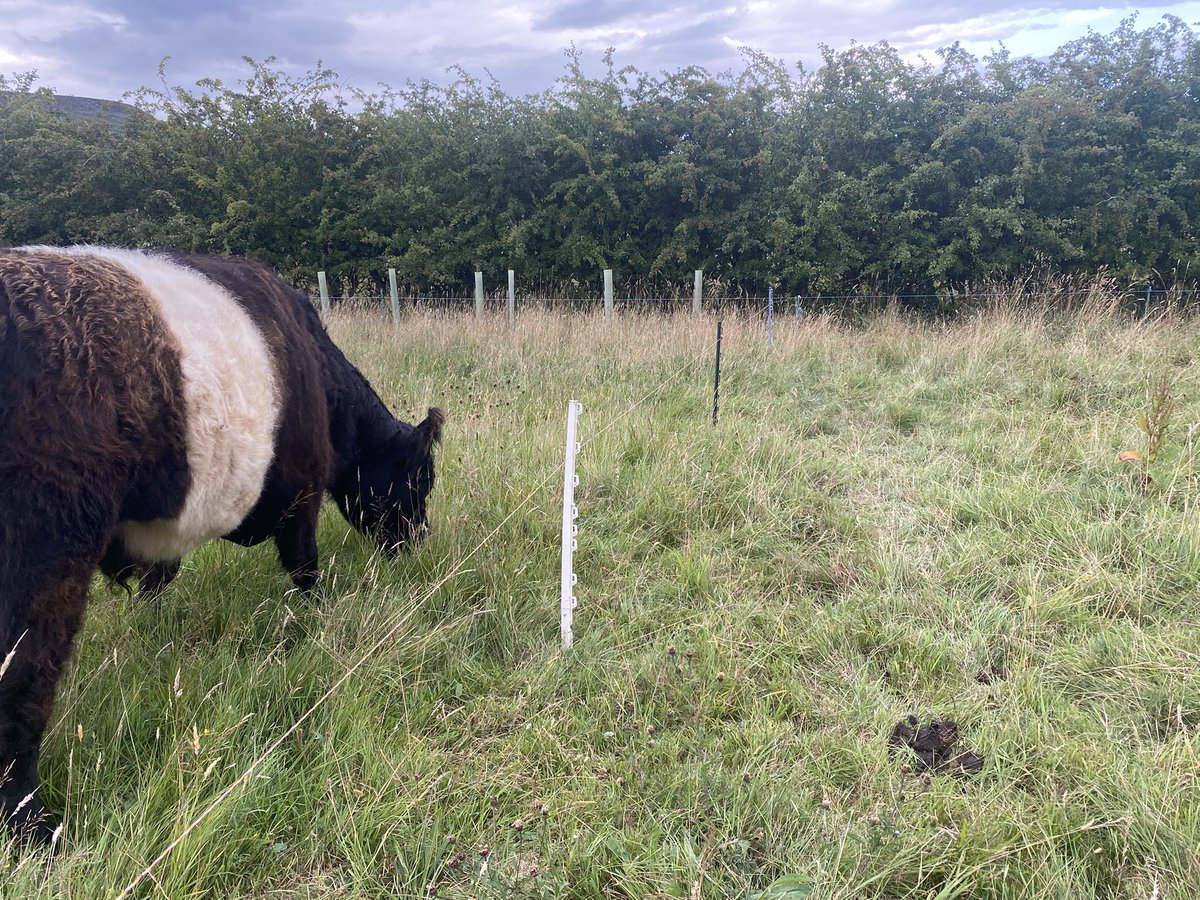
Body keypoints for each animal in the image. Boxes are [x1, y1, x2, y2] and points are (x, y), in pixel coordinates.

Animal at [0, 245, 444, 843]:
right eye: (421, 482)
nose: (416, 544)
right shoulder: (302, 491)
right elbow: (305, 568)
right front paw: (314, 619)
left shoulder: (161, 540)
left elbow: (154, 591)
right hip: (43, 560)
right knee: (24, 686)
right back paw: (34, 828)